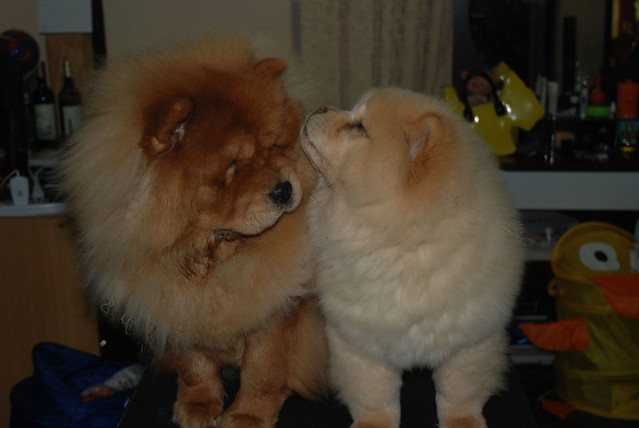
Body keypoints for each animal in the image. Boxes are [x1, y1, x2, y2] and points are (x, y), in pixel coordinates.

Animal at [62, 37, 328, 428]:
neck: (211, 256)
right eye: (232, 166)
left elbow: (263, 366)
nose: (284, 189)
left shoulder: (277, 304)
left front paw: (248, 415)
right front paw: (199, 406)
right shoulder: (173, 303)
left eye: (274, 145)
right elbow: (193, 363)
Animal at [302, 88, 524, 428]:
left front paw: (463, 422)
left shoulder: (471, 342)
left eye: (360, 127)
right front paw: (373, 424)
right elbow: (373, 395)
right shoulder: (361, 341)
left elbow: (460, 392)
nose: (321, 107)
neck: (404, 245)